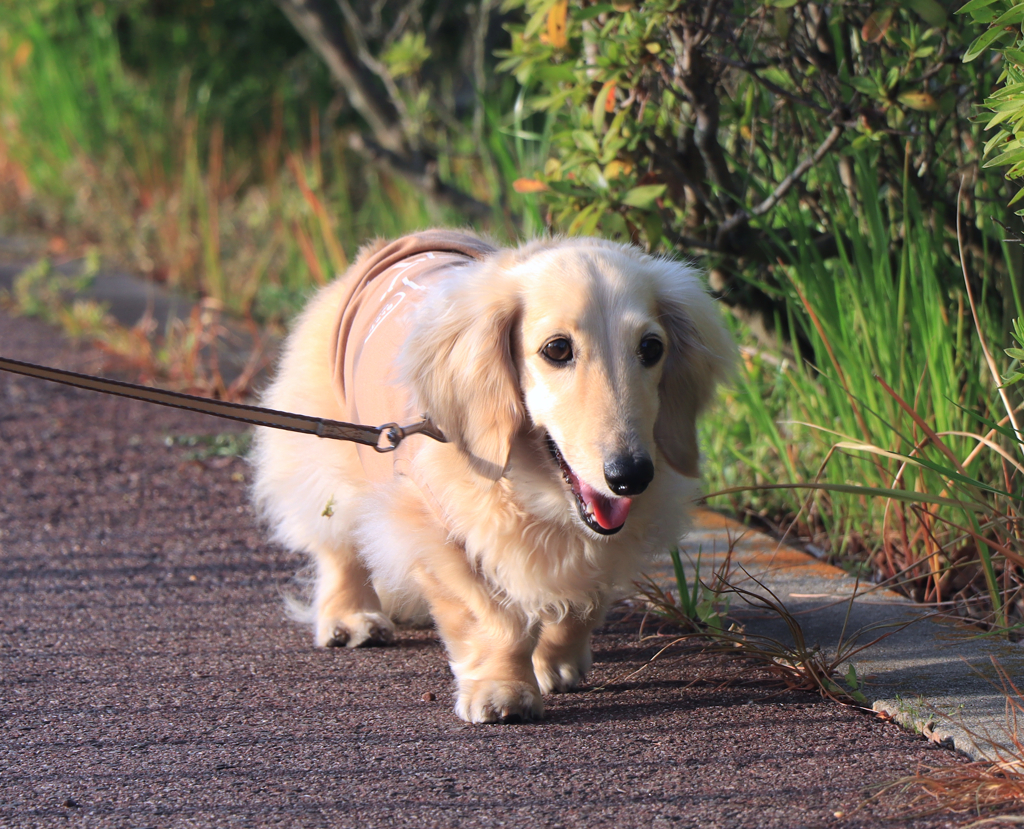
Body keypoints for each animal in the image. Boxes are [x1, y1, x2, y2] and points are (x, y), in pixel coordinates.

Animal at [254, 229, 737, 720]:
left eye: (651, 348)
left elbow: (580, 602)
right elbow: (492, 618)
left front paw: (555, 661)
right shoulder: (433, 530)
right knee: (338, 545)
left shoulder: (603, 547)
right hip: (325, 455)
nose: (631, 476)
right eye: (557, 349)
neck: (536, 489)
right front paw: (503, 689)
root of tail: (397, 243)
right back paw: (350, 616)